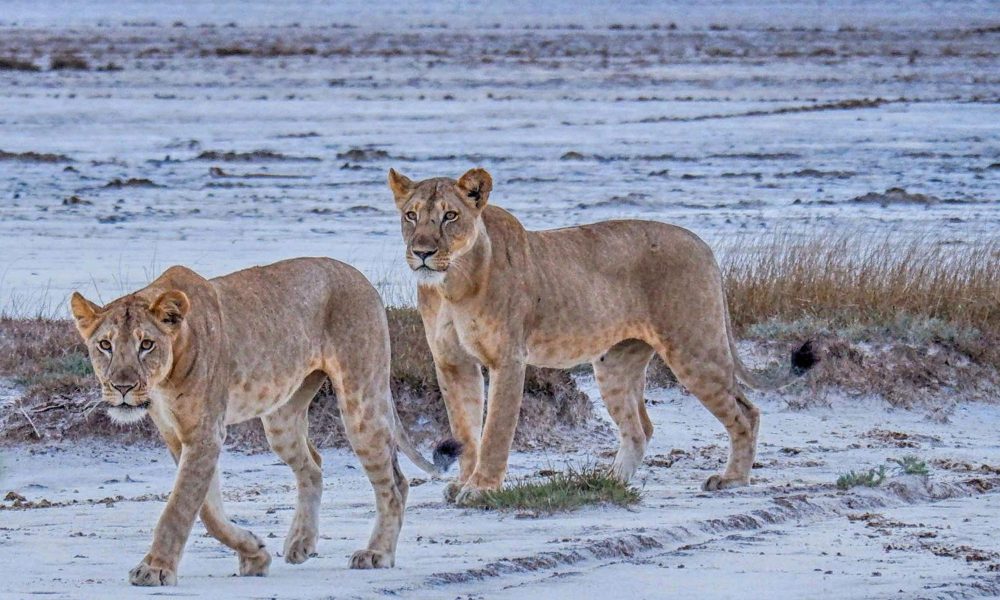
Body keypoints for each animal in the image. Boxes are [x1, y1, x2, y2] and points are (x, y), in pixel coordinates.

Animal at [70, 257, 442, 586]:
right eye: (105, 345)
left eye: (146, 344)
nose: (122, 387)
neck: (163, 380)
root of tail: (362, 279)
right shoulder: (179, 436)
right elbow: (207, 511)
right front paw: (254, 554)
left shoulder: (205, 433)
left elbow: (179, 508)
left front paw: (155, 569)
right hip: (281, 418)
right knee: (313, 466)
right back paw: (301, 543)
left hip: (361, 400)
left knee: (394, 483)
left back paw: (377, 553)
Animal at [387, 168, 815, 506]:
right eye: (411, 215)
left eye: (450, 216)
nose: (422, 252)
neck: (451, 284)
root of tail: (703, 245)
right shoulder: (452, 363)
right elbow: (464, 429)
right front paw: (461, 483)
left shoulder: (508, 360)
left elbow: (495, 432)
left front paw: (480, 489)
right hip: (615, 362)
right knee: (640, 428)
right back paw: (606, 482)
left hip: (694, 347)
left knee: (746, 412)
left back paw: (732, 480)